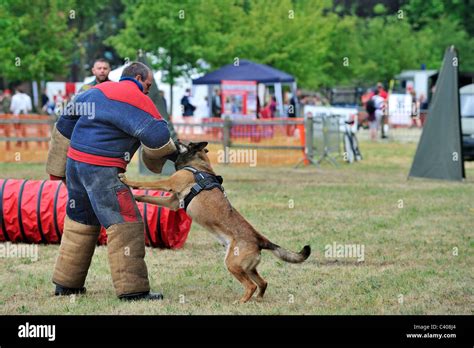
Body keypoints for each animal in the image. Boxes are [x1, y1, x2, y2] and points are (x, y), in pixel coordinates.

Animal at [118, 141, 312, 302]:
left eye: (186, 143)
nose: (176, 139)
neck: (198, 166)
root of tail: (260, 239)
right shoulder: (172, 202)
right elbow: (147, 196)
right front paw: (135, 197)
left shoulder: (170, 182)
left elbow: (148, 182)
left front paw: (127, 180)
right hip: (247, 267)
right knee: (263, 283)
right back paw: (257, 299)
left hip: (232, 264)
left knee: (251, 285)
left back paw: (241, 302)